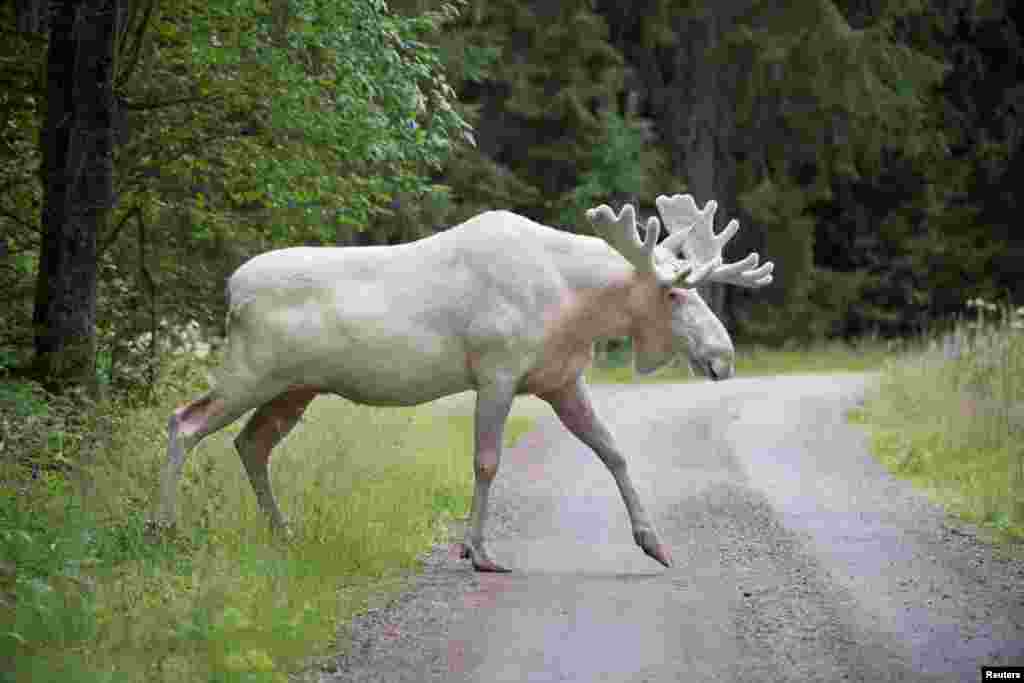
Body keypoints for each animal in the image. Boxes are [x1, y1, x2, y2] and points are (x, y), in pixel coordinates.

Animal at [155, 194, 770, 573]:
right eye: (675, 293)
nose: (723, 356)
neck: (576, 307)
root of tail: (231, 291)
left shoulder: (560, 380)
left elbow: (613, 451)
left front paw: (654, 543)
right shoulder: (496, 371)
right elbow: (487, 461)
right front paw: (477, 551)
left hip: (294, 387)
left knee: (250, 443)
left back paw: (282, 533)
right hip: (252, 371)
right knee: (185, 420)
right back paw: (163, 525)